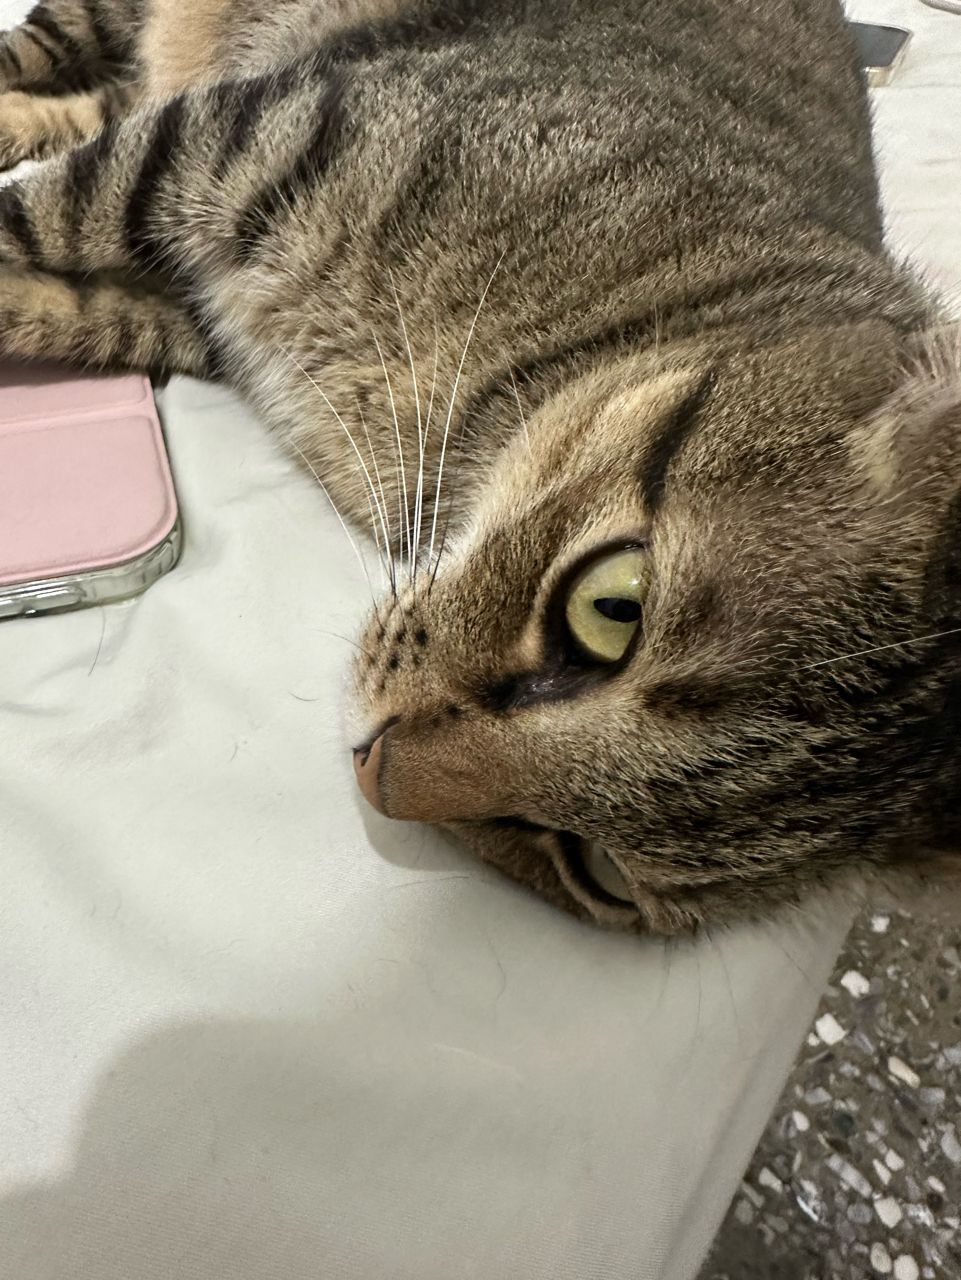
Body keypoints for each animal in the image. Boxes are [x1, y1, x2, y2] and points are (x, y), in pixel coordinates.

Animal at [0, 0, 958, 934]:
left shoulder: (193, 309)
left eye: (597, 869)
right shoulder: (267, 134)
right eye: (612, 609)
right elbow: (43, 215)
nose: (374, 771)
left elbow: (65, 304)